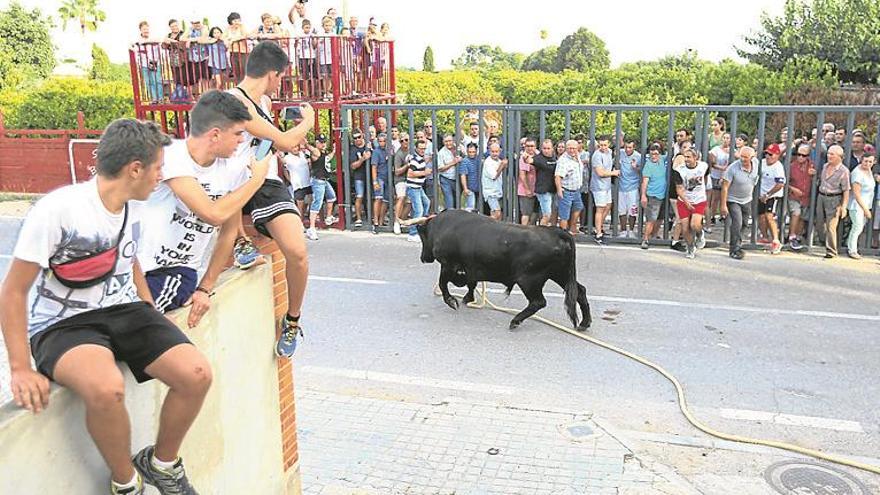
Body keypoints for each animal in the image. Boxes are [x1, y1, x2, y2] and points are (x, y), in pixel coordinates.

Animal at [410, 208, 592, 330]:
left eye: (422, 237)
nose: (423, 258)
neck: (442, 226)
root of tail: (554, 231)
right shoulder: (470, 268)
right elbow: (471, 284)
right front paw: (467, 299)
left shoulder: (448, 265)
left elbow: (443, 283)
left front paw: (452, 301)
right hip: (560, 274)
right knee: (580, 291)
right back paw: (584, 323)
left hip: (529, 280)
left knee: (539, 302)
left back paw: (515, 321)